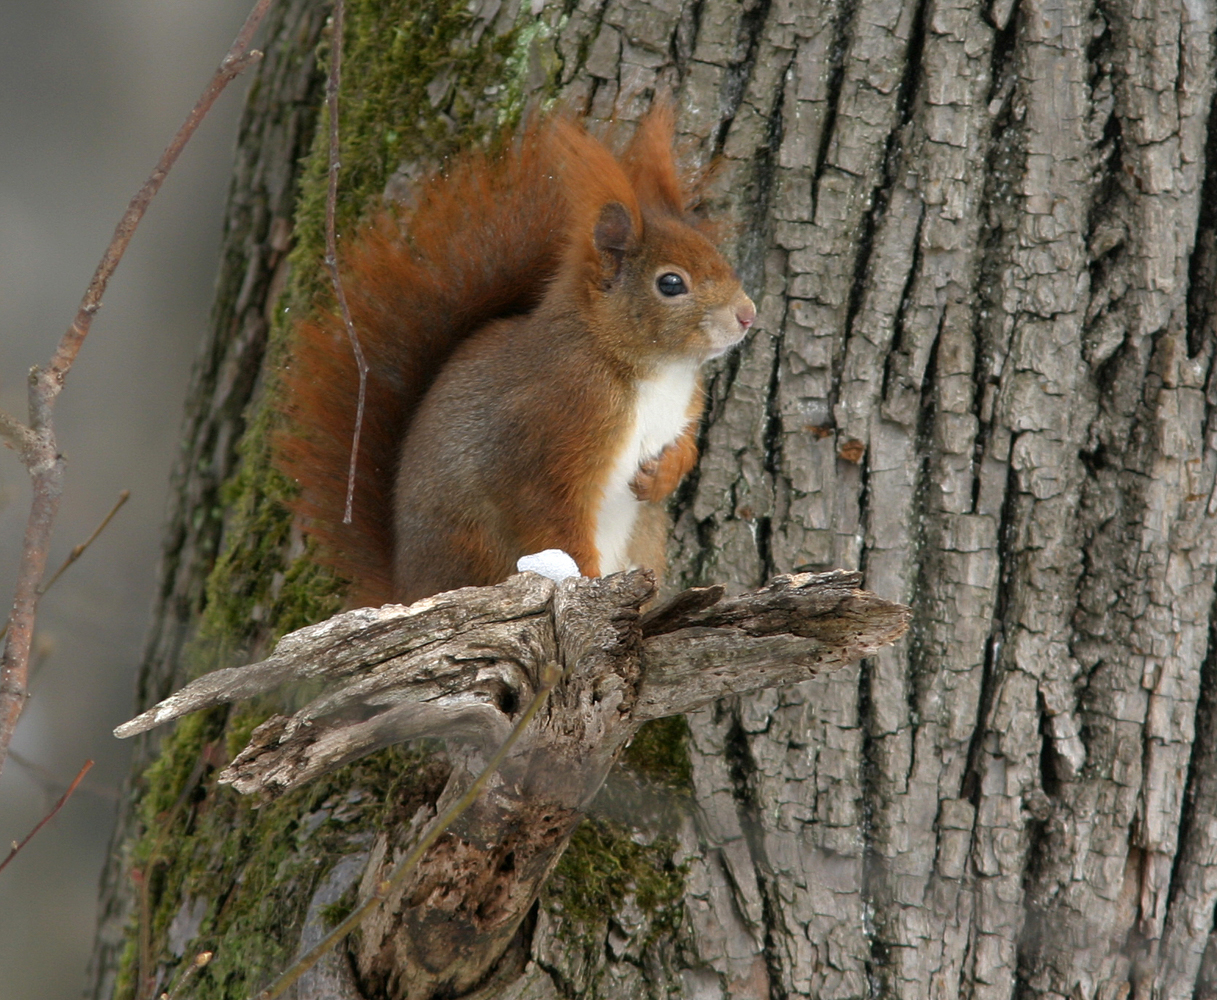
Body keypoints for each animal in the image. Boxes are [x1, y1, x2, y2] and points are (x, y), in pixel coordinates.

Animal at [278, 109, 749, 610]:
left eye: (716, 254)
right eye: (671, 284)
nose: (748, 314)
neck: (655, 371)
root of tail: (407, 591)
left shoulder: (685, 408)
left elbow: (686, 448)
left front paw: (660, 476)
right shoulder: (551, 431)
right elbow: (551, 517)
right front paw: (583, 581)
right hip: (477, 548)